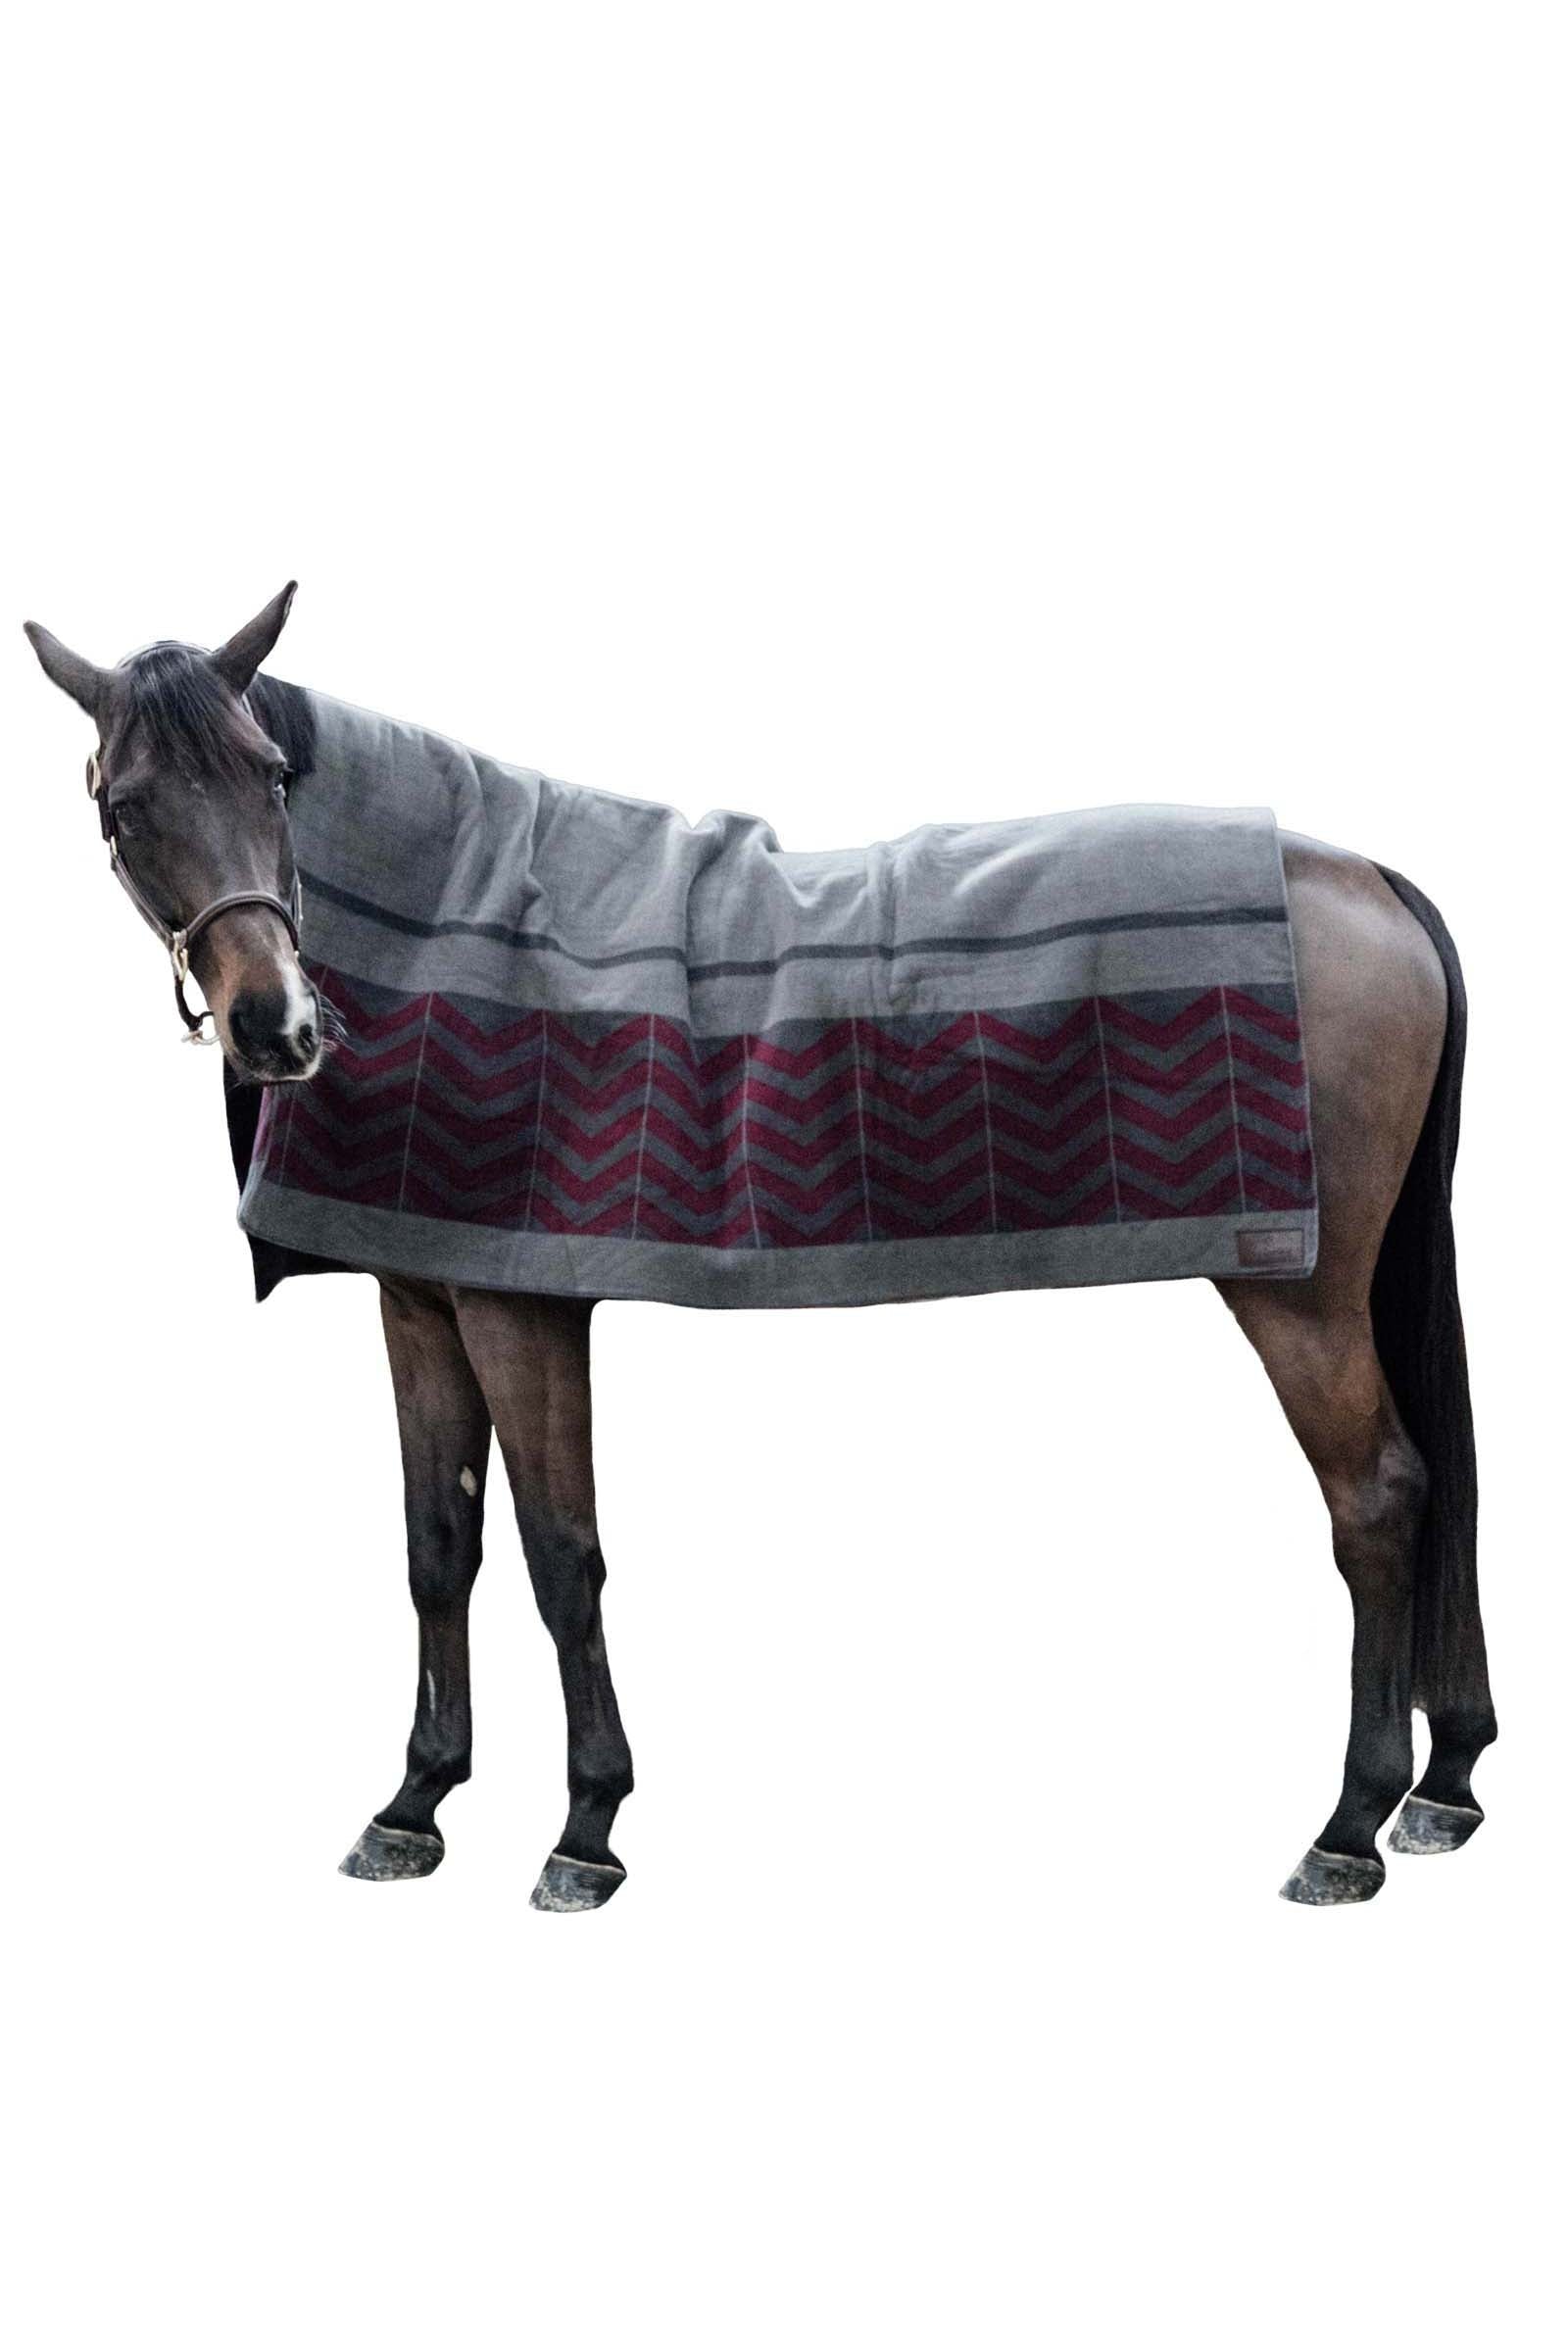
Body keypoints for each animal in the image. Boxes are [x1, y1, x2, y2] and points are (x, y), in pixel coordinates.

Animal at [25, 584, 1497, 1909]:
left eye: (274, 777)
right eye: (124, 805)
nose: (278, 1026)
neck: (452, 915)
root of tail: (1364, 879)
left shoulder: (522, 1307)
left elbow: (564, 1555)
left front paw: (585, 1830)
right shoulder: (419, 1298)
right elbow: (438, 1548)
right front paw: (413, 1804)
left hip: (1298, 1297)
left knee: (1379, 1500)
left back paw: (1348, 1828)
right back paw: (1440, 1786)